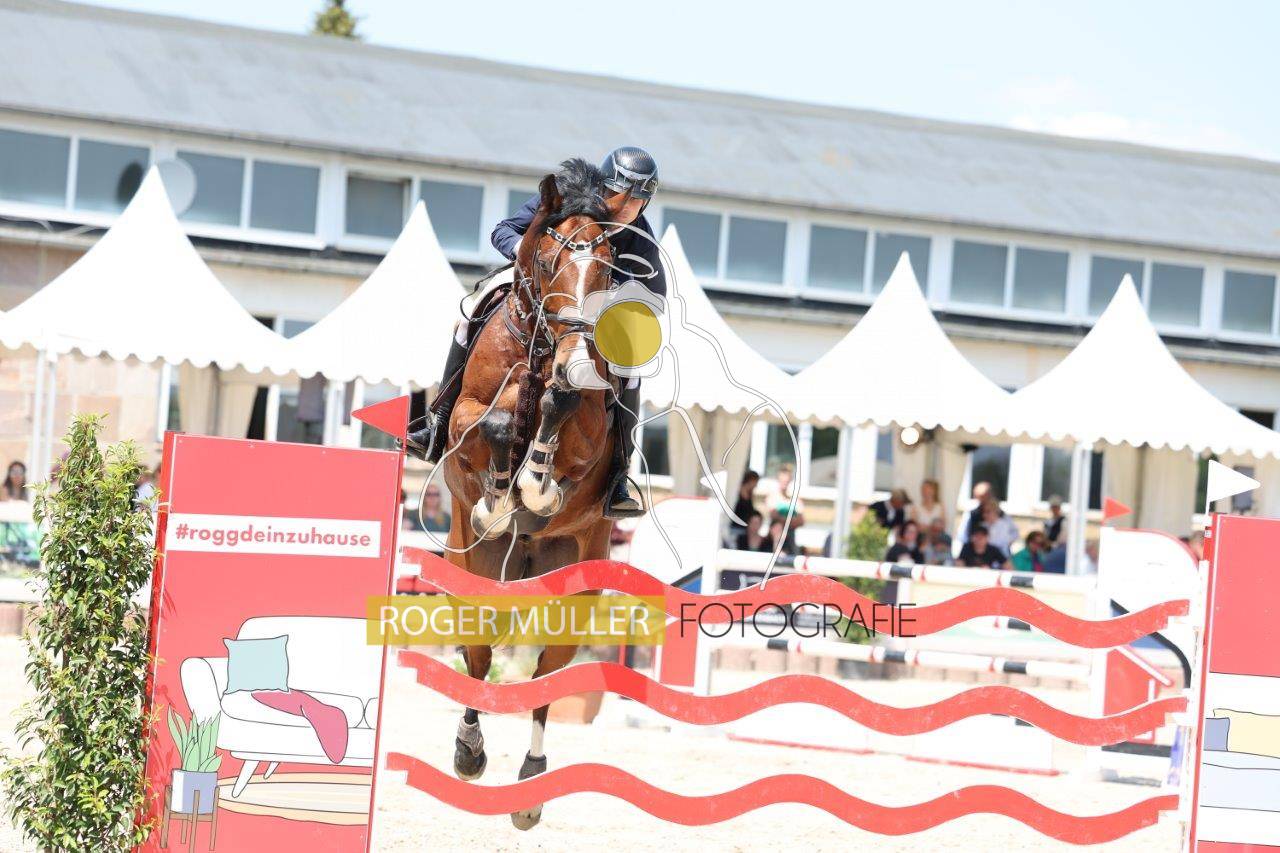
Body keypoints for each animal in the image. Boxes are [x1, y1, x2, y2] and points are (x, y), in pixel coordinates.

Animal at [438, 159, 618, 830]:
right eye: (548, 257)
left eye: (610, 265)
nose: (578, 345)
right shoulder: (465, 415)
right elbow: (491, 423)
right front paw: (499, 499)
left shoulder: (590, 435)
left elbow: (561, 410)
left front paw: (536, 487)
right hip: (472, 573)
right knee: (479, 655)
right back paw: (468, 753)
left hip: (573, 593)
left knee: (544, 677)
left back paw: (532, 786)